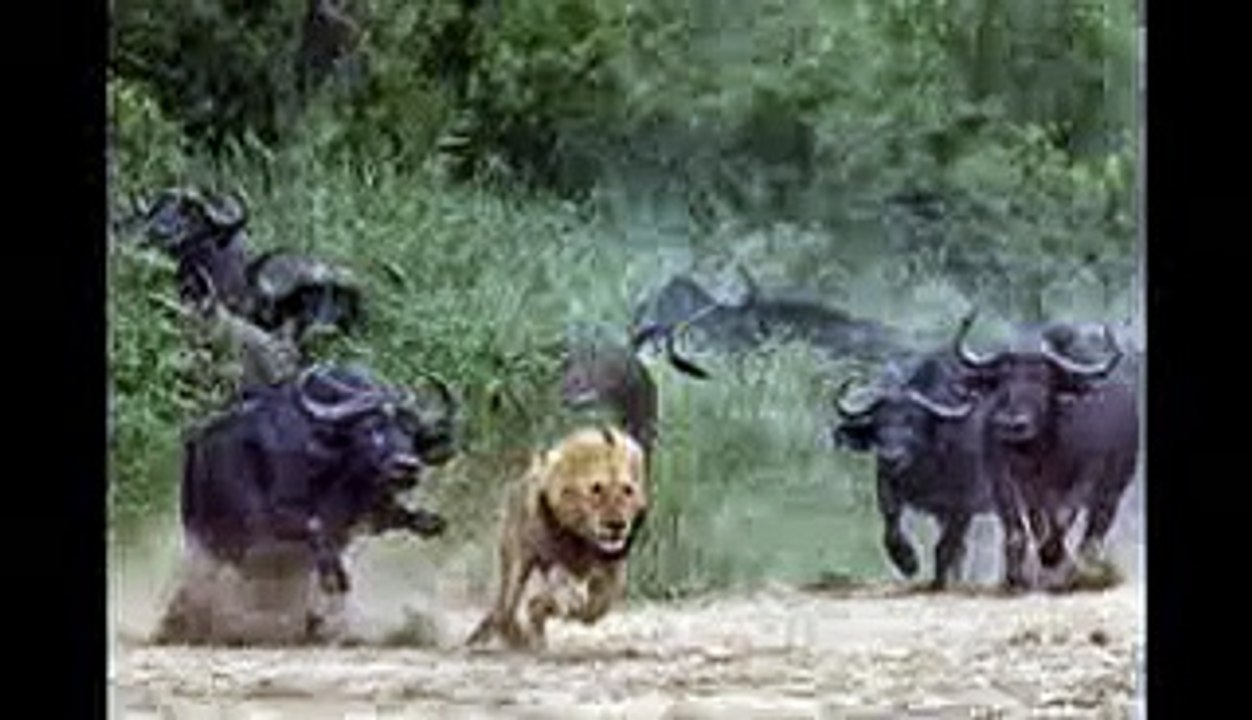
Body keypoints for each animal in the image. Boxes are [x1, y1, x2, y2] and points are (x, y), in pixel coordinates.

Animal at [156, 364, 458, 644]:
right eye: (371, 429)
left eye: (412, 432)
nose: (406, 467)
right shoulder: (270, 518)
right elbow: (316, 528)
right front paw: (333, 579)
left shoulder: (367, 512)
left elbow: (401, 517)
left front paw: (430, 522)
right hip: (209, 540)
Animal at [466, 425, 648, 651]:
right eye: (596, 489)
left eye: (627, 490)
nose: (616, 525)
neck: (582, 537)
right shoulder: (553, 558)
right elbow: (562, 591)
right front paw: (571, 603)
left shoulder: (612, 565)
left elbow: (603, 600)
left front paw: (586, 610)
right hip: (516, 562)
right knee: (505, 607)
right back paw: (519, 637)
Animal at [951, 314, 1139, 591]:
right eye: (1003, 381)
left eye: (1043, 381)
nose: (1013, 423)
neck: (1041, 451)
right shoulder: (1007, 479)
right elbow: (1021, 526)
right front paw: (1017, 575)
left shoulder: (1088, 476)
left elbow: (1061, 518)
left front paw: (1052, 557)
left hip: (1112, 492)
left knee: (1094, 533)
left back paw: (1086, 569)